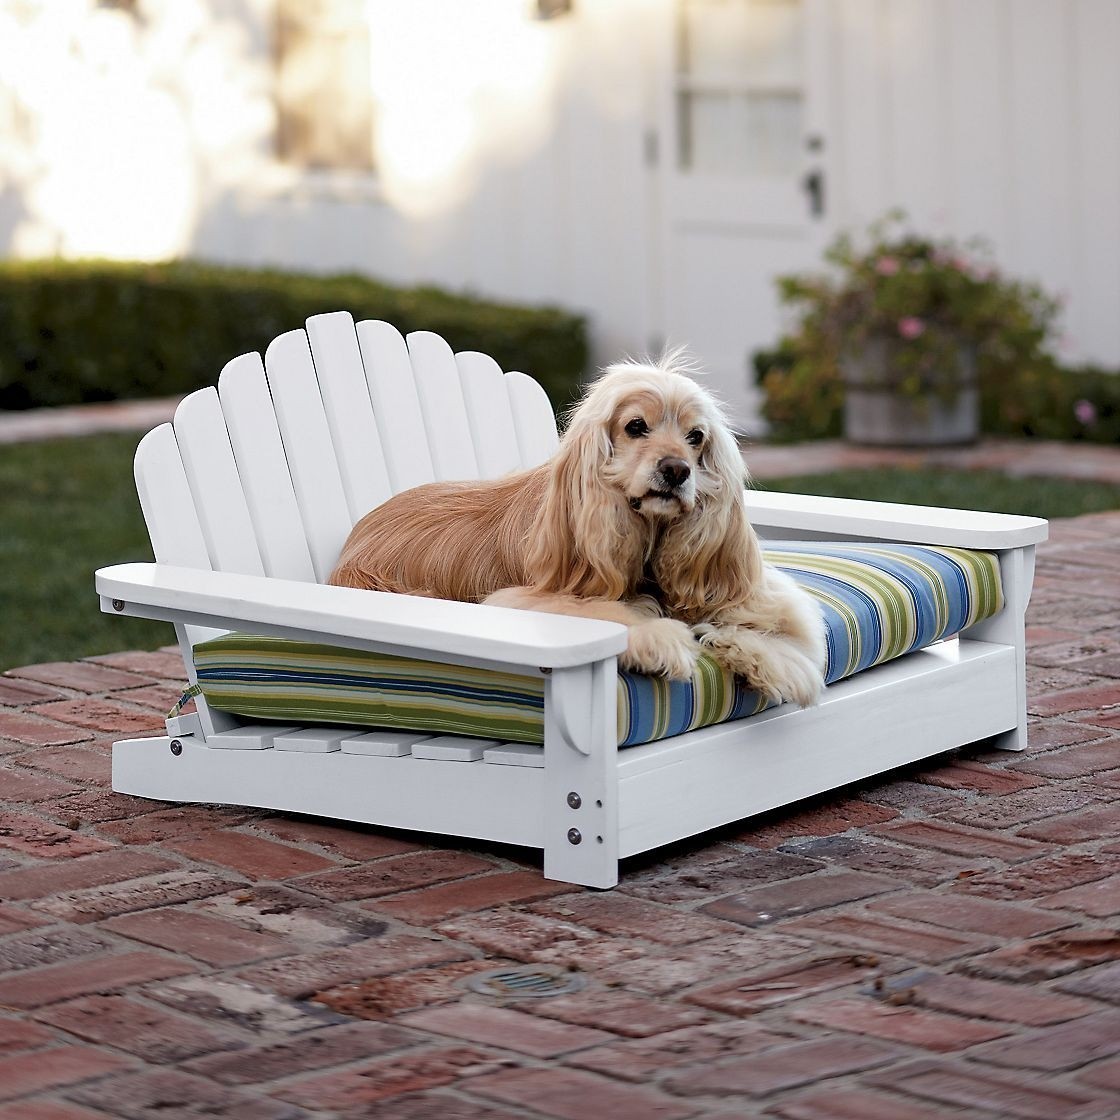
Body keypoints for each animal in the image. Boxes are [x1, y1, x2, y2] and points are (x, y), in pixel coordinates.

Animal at [327, 351, 828, 707]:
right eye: (635, 426)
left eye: (696, 437)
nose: (676, 471)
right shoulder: (521, 598)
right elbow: (607, 612)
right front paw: (659, 637)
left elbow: (781, 628)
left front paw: (771, 659)